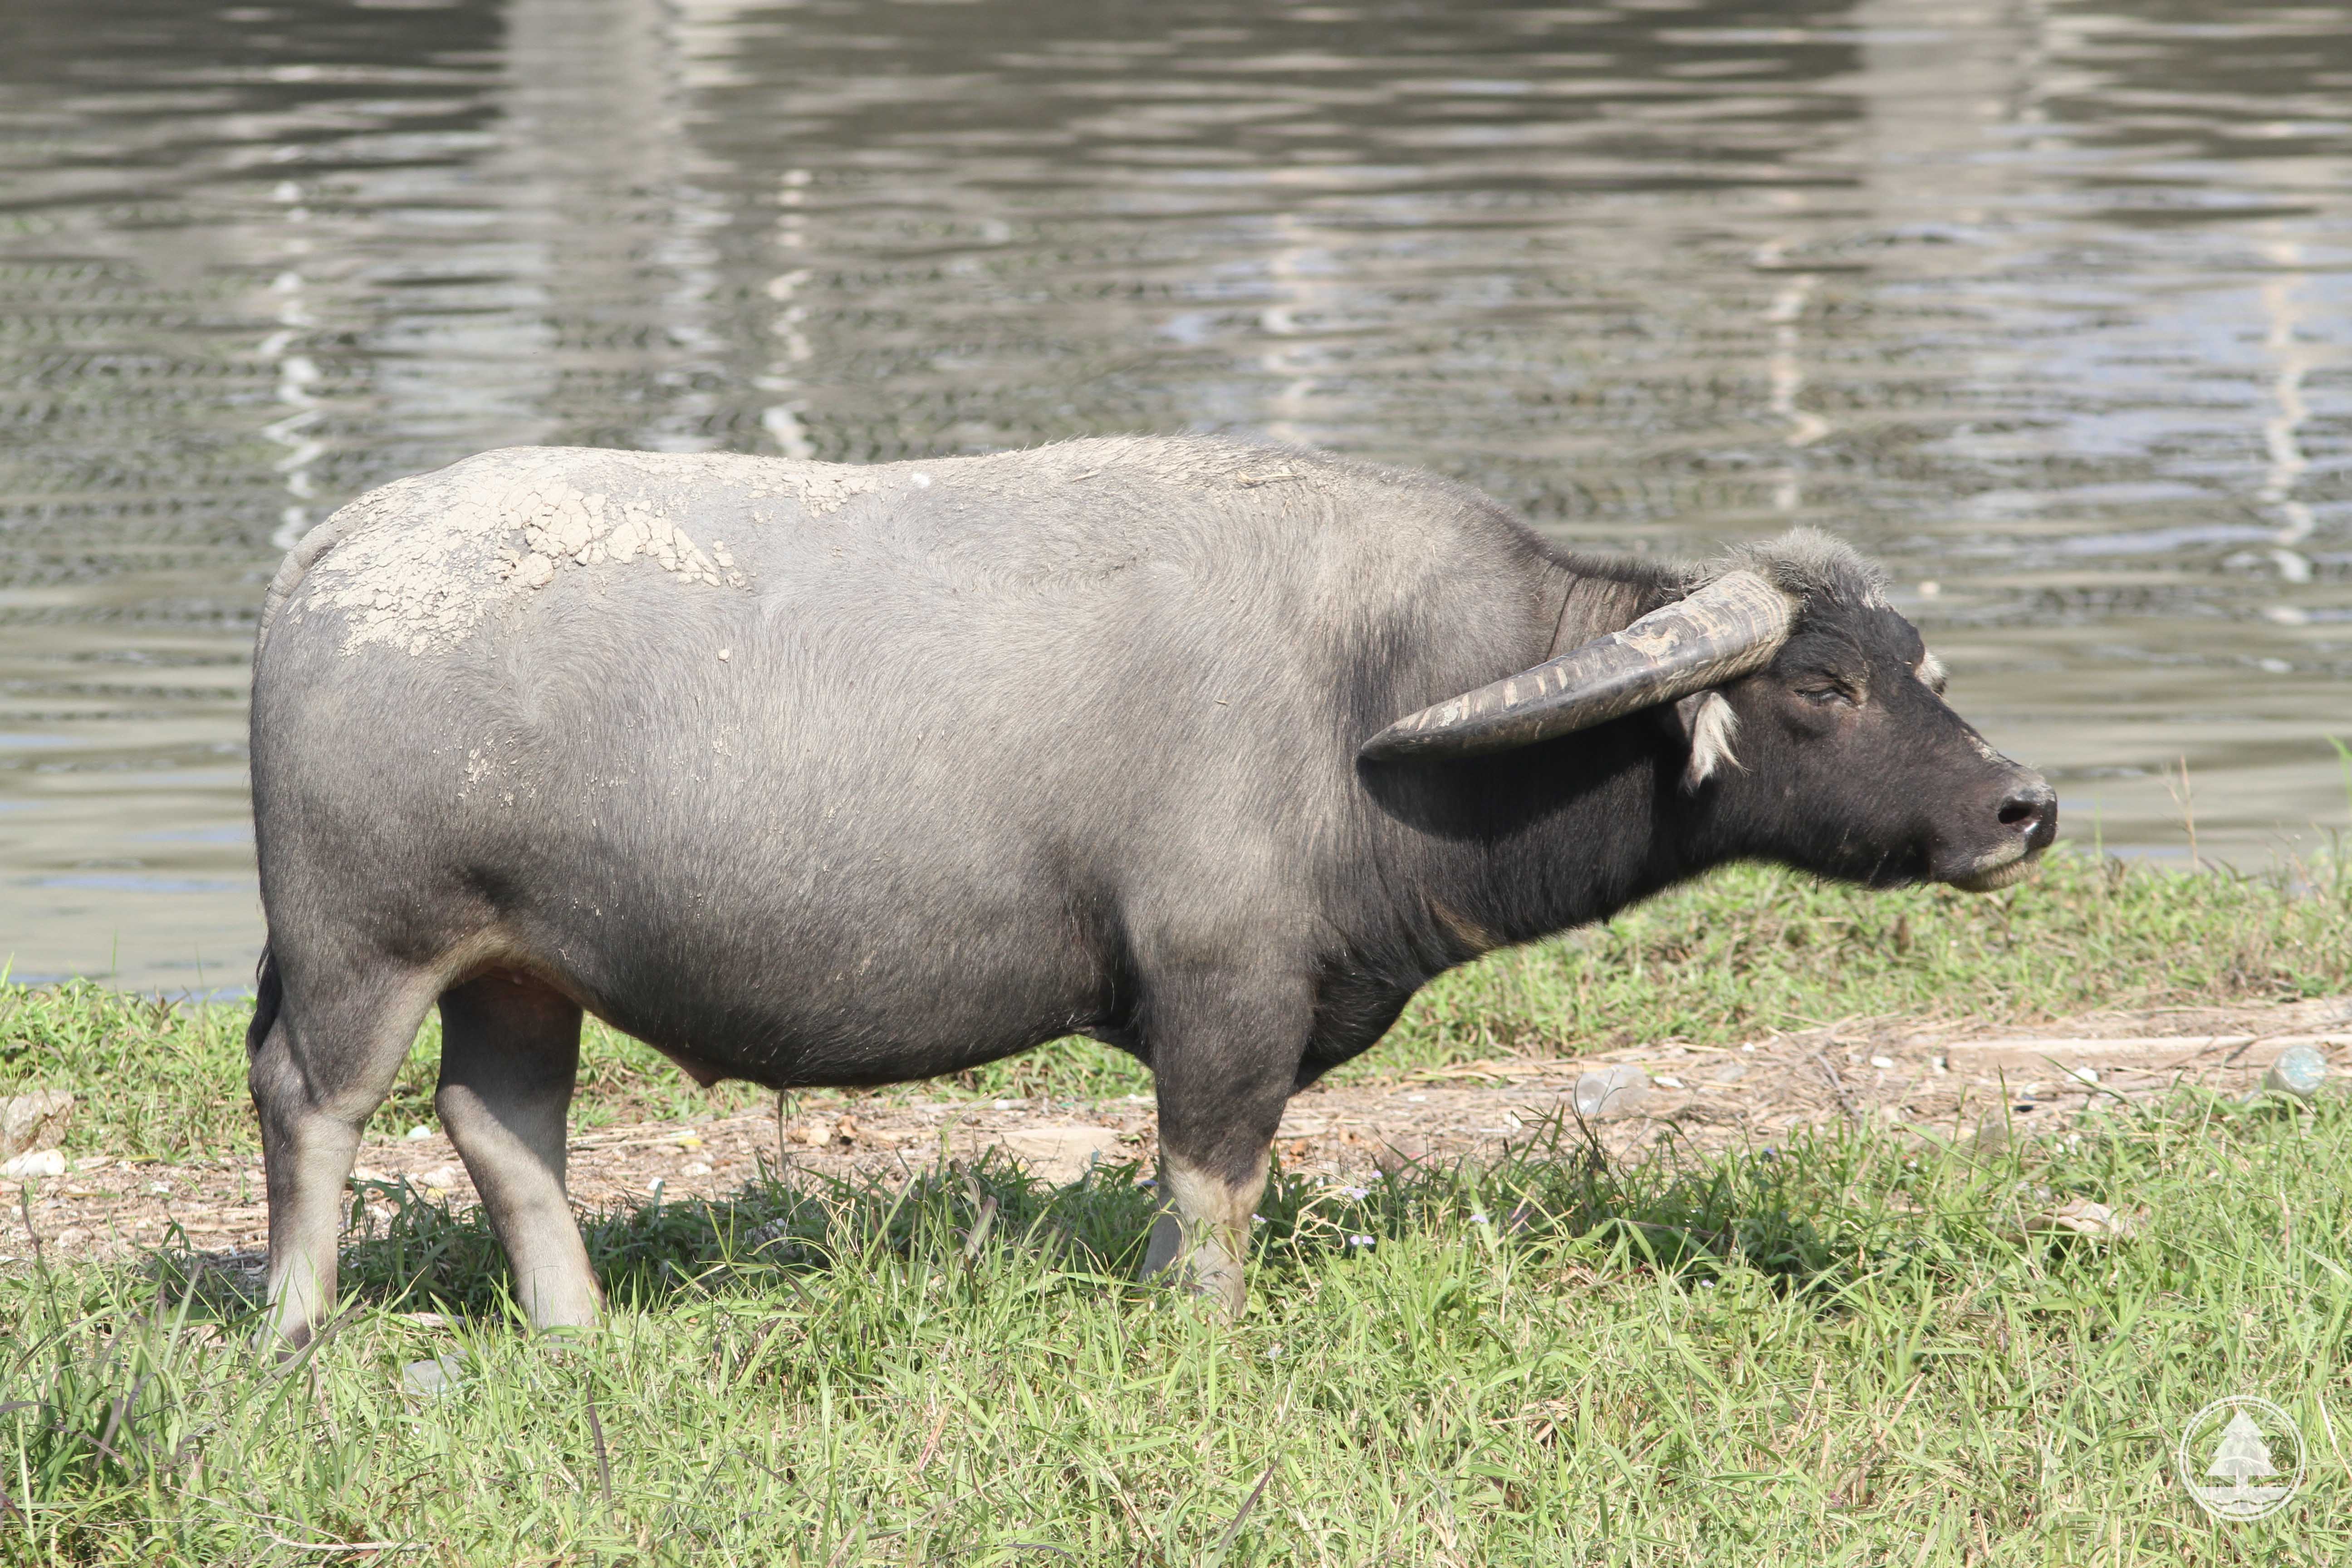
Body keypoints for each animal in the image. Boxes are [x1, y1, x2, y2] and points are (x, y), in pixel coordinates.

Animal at [248, 435, 2060, 1344]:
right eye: (1821, 687)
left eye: (1918, 663)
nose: (2021, 807)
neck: (1376, 688)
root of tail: (326, 564)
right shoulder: (1224, 998)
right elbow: (1214, 1187)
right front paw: (1208, 1332)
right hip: (363, 943)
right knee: (312, 1105)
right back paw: (295, 1327)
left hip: (516, 965)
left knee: (502, 1127)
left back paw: (575, 1330)